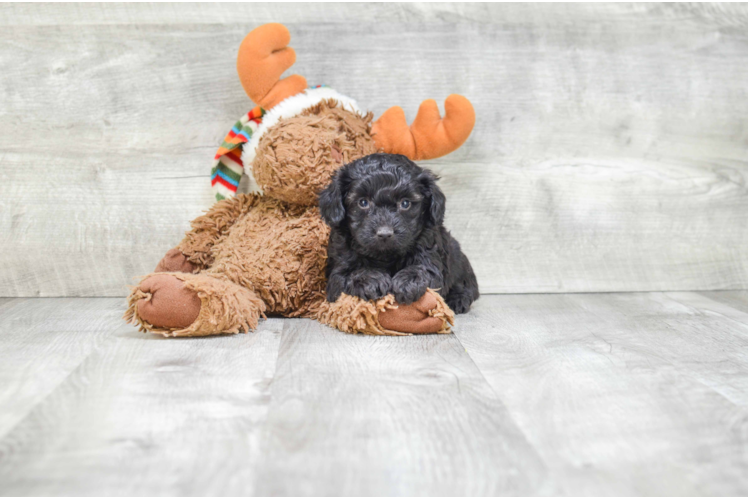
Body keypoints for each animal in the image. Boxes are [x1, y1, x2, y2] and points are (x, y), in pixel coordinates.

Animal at [318, 152, 480, 312]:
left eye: (405, 203)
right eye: (363, 202)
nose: (384, 233)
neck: (384, 256)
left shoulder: (429, 251)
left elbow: (425, 270)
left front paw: (408, 281)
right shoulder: (337, 269)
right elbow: (344, 276)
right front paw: (370, 279)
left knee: (467, 286)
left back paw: (458, 299)